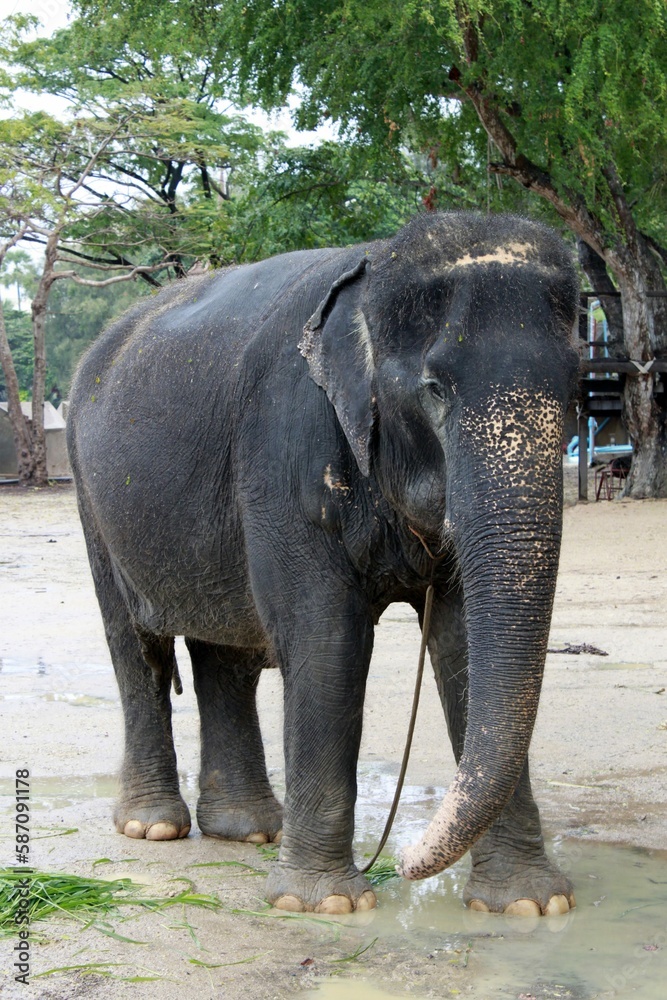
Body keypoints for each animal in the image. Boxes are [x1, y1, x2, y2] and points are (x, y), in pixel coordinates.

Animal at [67, 211, 579, 917]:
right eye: (434, 390)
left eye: (579, 390)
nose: (404, 860)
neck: (377, 263)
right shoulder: (284, 445)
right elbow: (325, 637)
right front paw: (324, 905)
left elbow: (464, 646)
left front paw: (531, 905)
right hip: (92, 499)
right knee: (136, 647)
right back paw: (155, 828)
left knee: (226, 655)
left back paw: (248, 831)